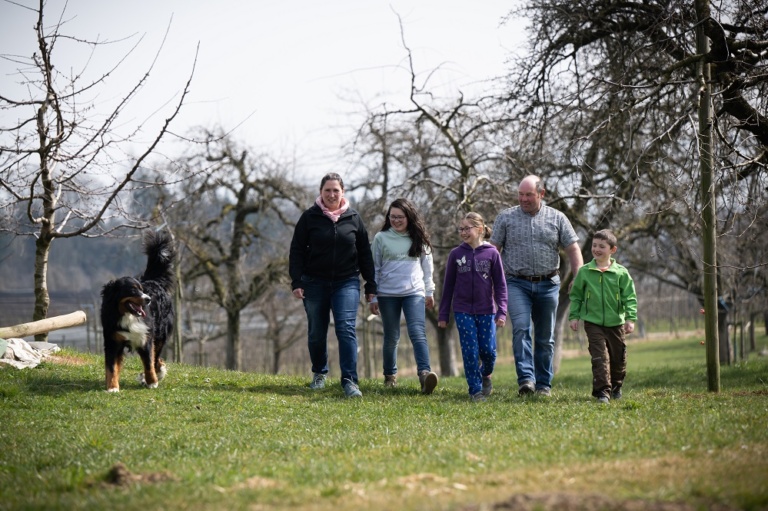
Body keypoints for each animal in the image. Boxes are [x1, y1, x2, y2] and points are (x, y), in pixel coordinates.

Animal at [99, 230, 176, 394]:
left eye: (142, 290)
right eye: (133, 290)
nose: (148, 299)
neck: (128, 316)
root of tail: (154, 281)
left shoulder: (145, 337)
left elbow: (148, 362)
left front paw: (151, 382)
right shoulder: (113, 340)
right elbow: (112, 367)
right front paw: (112, 386)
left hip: (160, 335)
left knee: (156, 359)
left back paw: (157, 374)